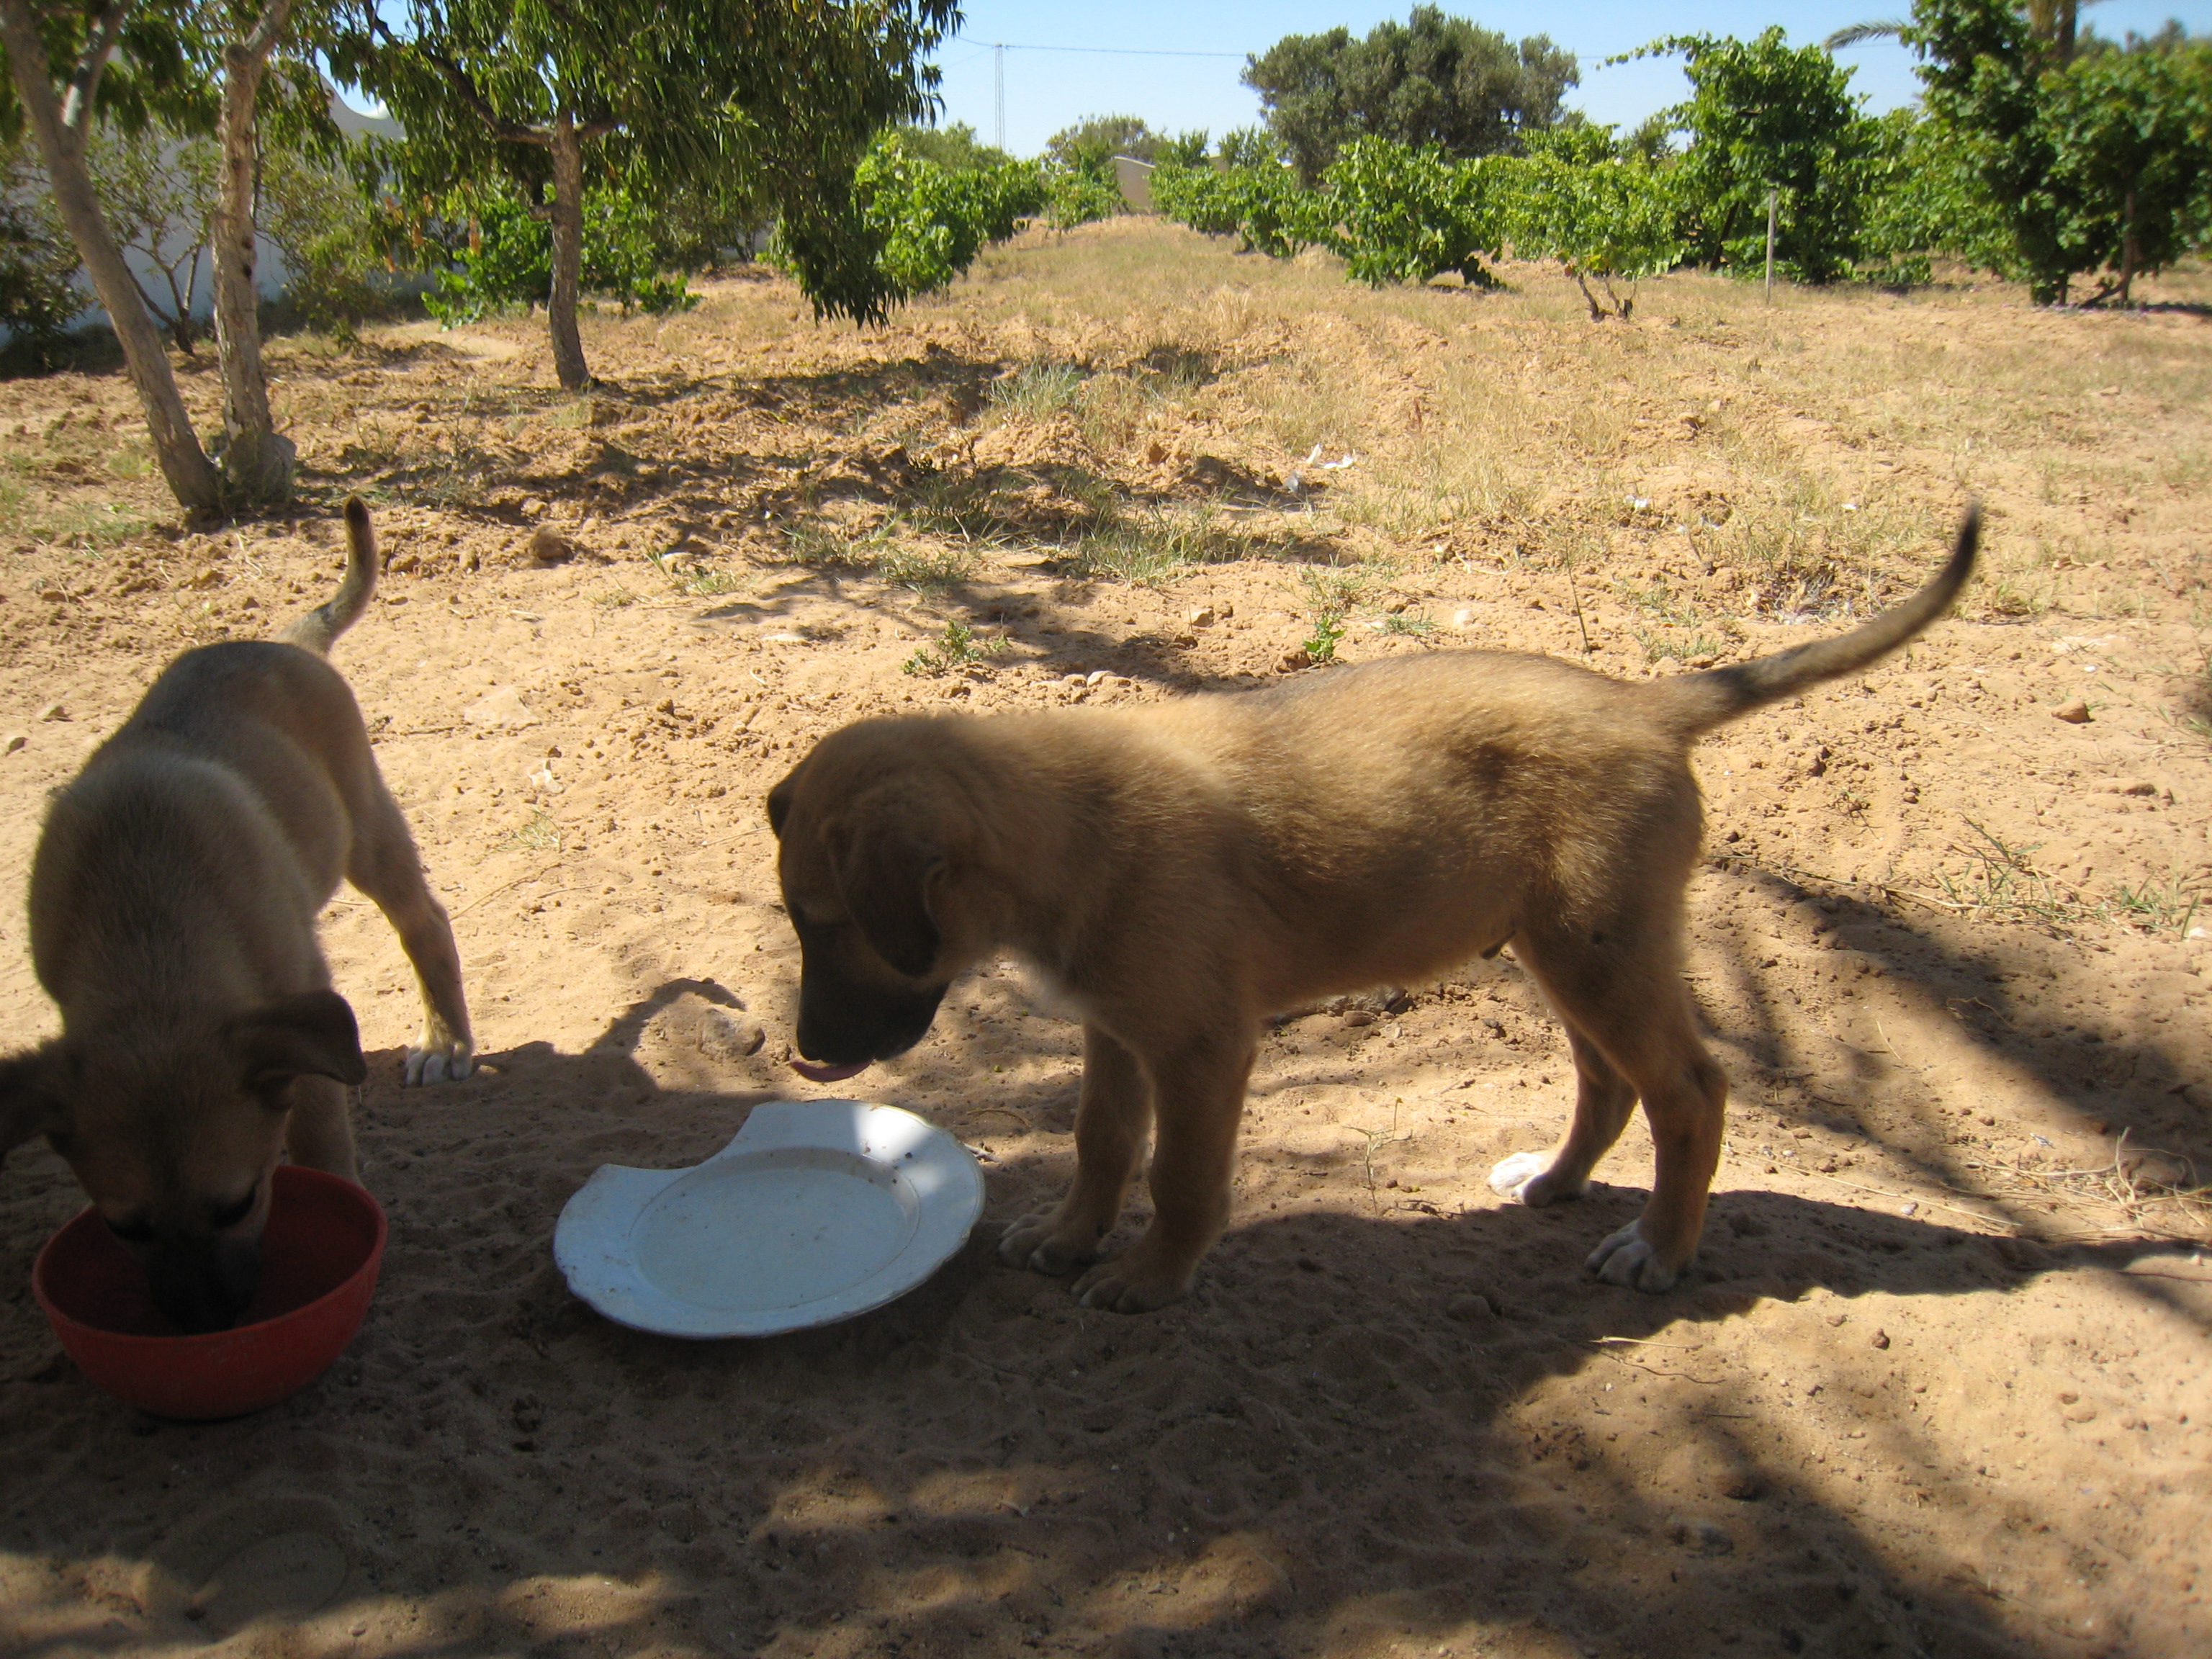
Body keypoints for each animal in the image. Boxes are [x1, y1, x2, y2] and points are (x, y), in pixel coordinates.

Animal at [2, 498, 471, 1336]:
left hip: (365, 826)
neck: (144, 921)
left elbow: (318, 1135)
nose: (204, 1324)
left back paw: (446, 1040)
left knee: (427, 923)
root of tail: (285, 641)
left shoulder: (299, 1007)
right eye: (123, 1227)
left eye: (239, 1204)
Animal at [770, 513, 1982, 1318]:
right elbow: (1102, 1141)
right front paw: (1070, 1236)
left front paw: (1153, 1275)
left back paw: (1661, 1249)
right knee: (1608, 1080)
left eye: (830, 926)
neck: (1062, 823)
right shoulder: (1115, 1028)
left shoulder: (1201, 1048)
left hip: (1603, 948)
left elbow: (1178, 1177)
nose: (805, 1058)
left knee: (1688, 1088)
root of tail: (1648, 703)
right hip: (1565, 949)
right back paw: (1556, 1182)